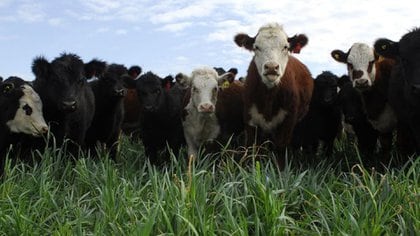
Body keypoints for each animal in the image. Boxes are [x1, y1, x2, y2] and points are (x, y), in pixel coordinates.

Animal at [235, 21, 314, 166]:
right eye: (256, 47)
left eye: (285, 47)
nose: (271, 67)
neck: (269, 97)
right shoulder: (249, 118)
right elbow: (252, 148)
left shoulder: (288, 120)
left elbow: (281, 149)